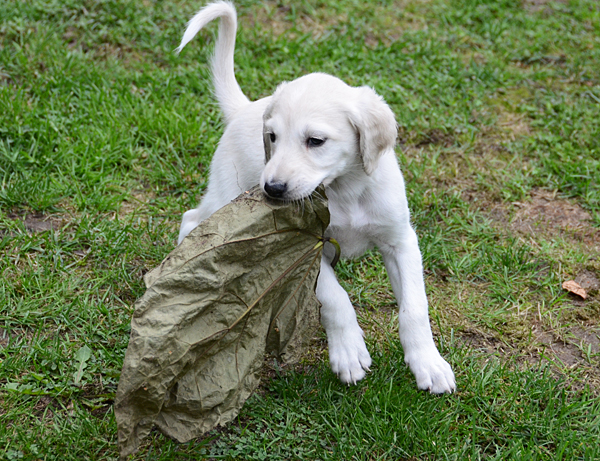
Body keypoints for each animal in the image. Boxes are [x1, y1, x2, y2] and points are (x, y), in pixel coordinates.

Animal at [178, 1, 454, 394]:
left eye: (316, 141)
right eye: (272, 137)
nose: (272, 189)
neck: (345, 190)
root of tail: (244, 109)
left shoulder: (401, 240)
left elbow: (415, 307)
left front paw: (428, 363)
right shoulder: (305, 246)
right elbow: (335, 296)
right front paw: (349, 351)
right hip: (225, 194)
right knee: (193, 219)